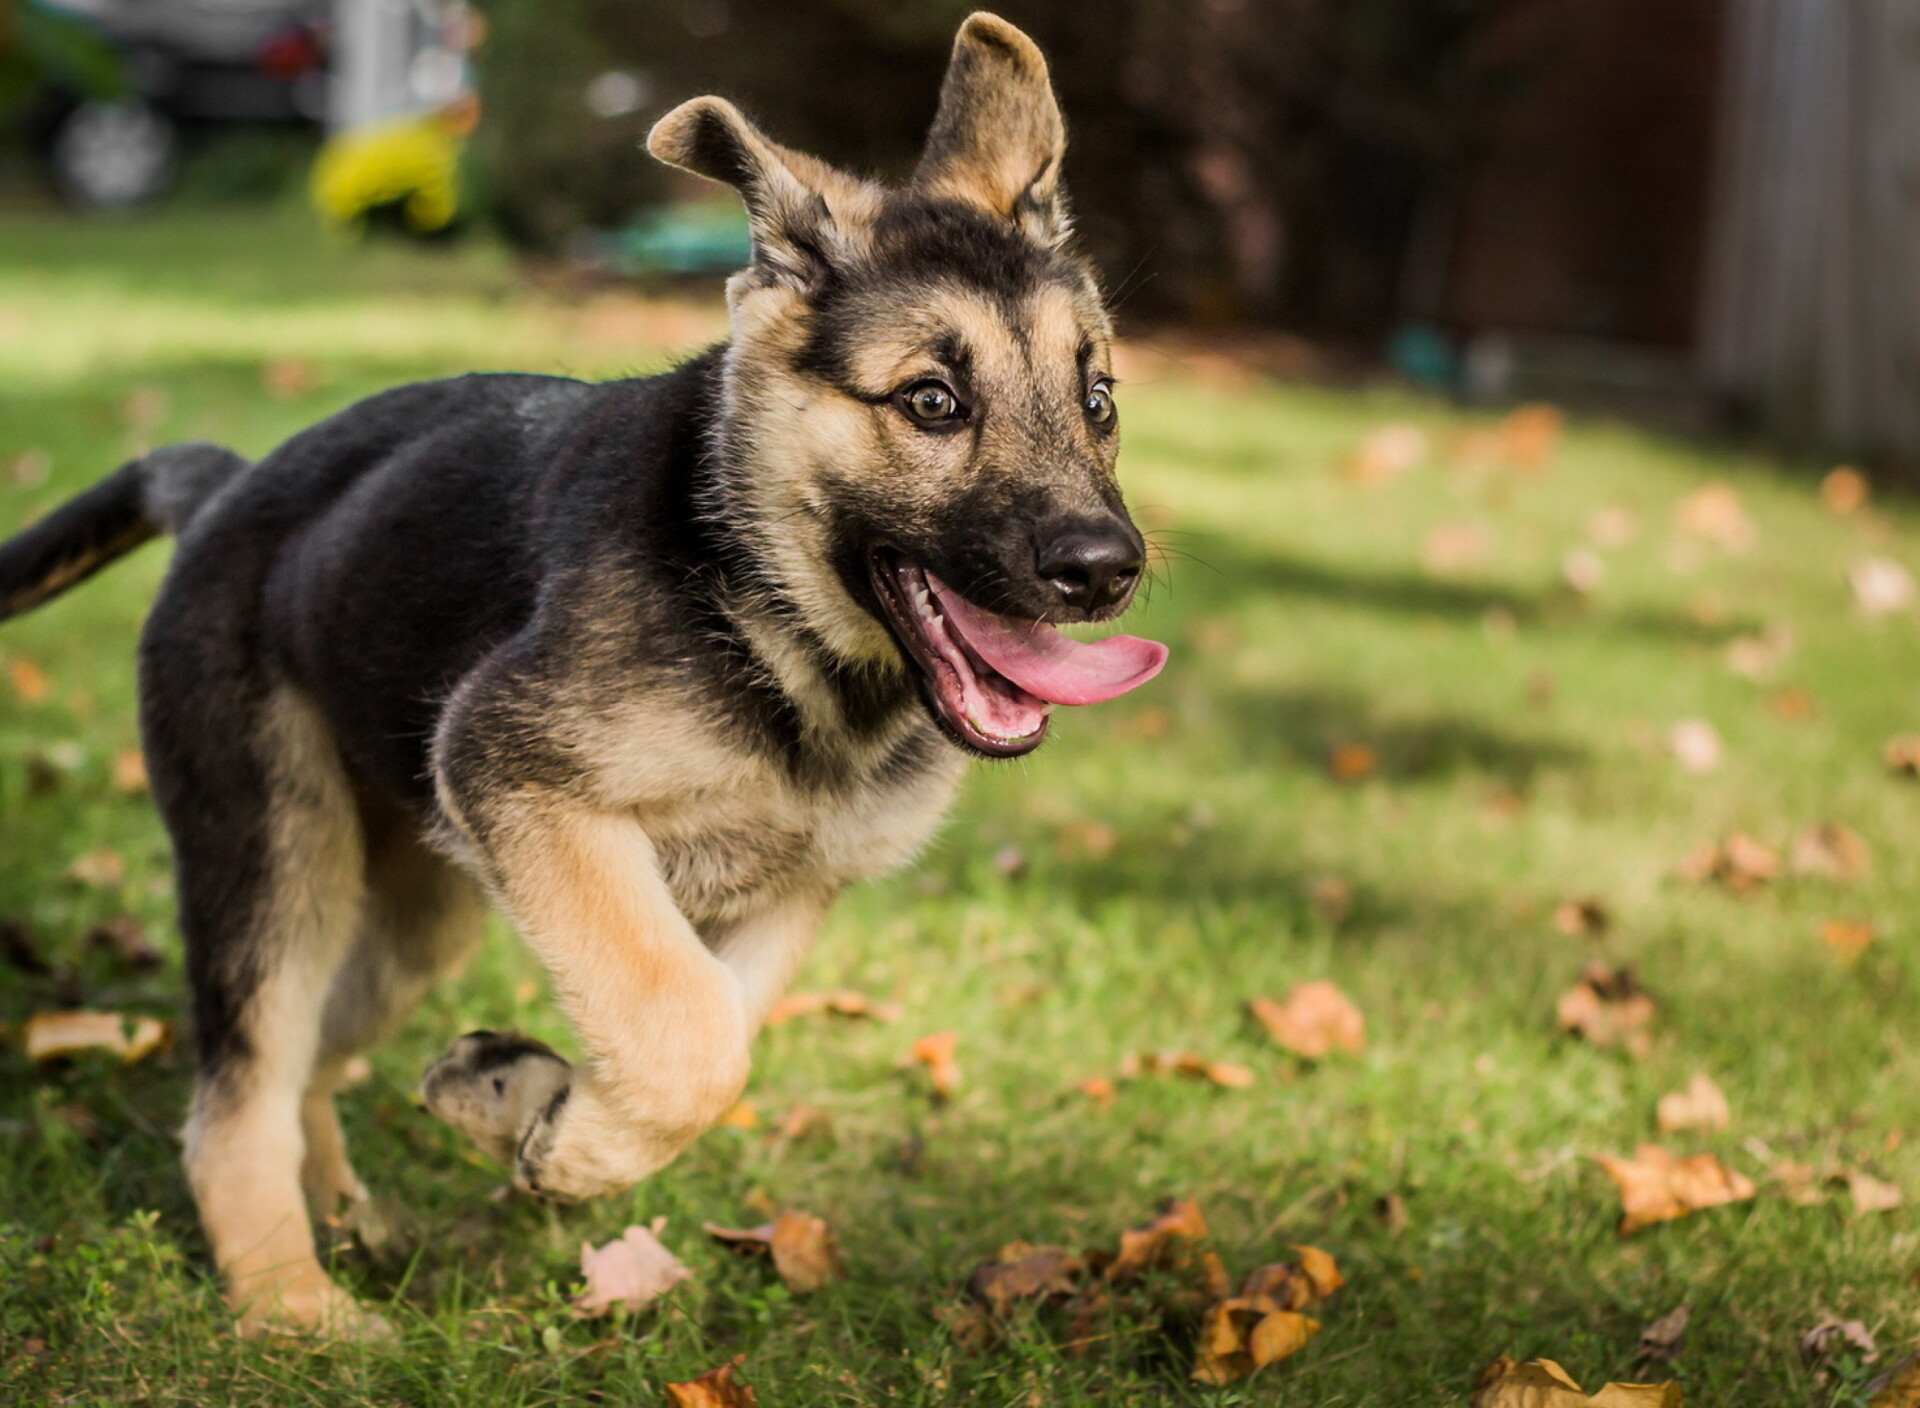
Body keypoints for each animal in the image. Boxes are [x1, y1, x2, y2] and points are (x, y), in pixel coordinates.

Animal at [0, 13, 1167, 1329]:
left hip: (415, 906)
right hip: (277, 853)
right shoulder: (520, 776)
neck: (766, 610)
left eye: (1099, 398)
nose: (1105, 570)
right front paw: (567, 1142)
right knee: (240, 1094)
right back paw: (295, 1307)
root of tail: (225, 492)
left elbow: (713, 1026)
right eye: (931, 400)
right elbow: (684, 1026)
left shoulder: (791, 886)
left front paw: (532, 1104)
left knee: (314, 1060)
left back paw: (355, 1213)